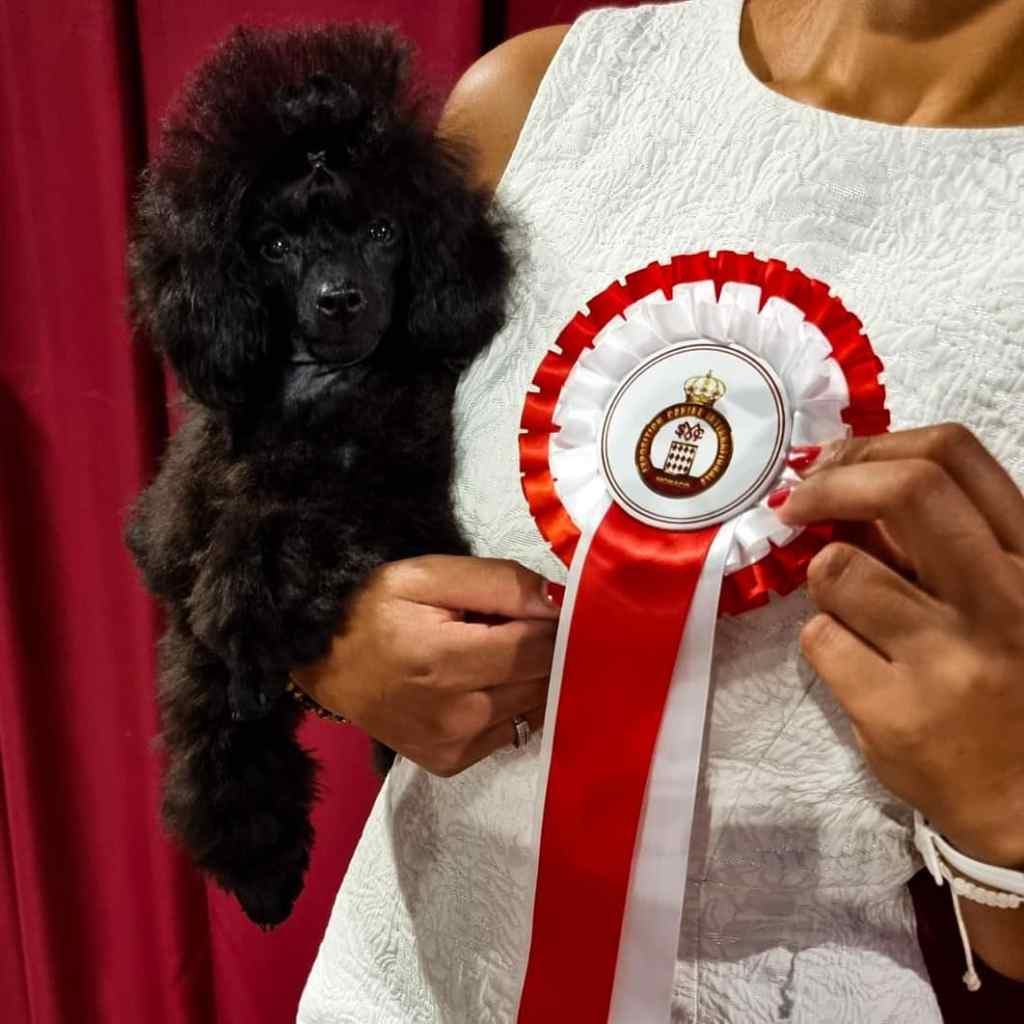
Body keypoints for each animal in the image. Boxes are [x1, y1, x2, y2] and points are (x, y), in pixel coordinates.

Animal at [125, 23, 512, 928]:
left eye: (382, 232)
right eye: (274, 246)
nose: (339, 299)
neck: (314, 395)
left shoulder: (395, 499)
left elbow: (297, 520)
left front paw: (254, 588)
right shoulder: (180, 573)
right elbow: (210, 731)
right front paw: (260, 867)